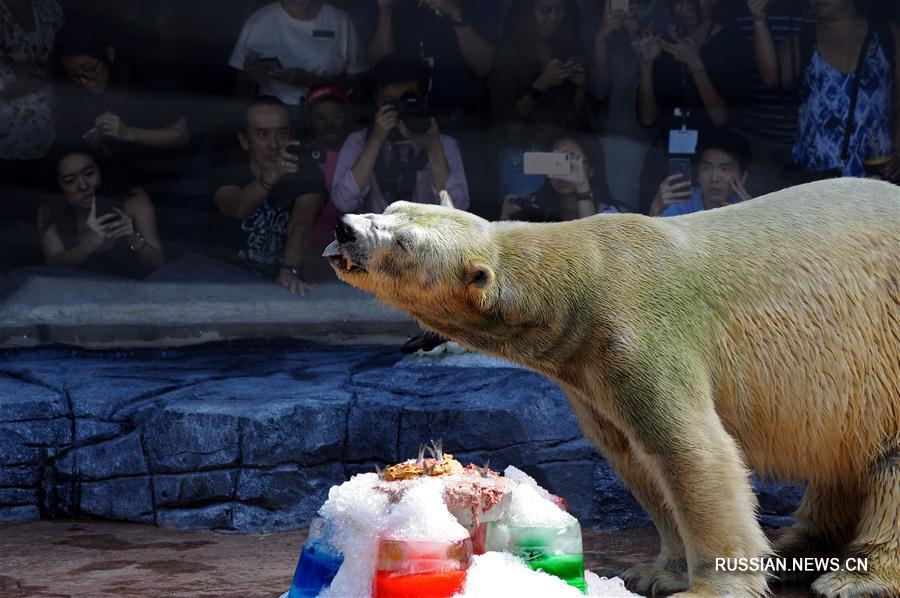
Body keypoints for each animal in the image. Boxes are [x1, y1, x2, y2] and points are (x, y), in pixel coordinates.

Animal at [326, 179, 900, 598]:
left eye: (405, 242)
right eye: (392, 204)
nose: (346, 226)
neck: (577, 284)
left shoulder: (642, 334)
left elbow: (693, 452)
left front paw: (709, 587)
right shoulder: (588, 373)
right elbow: (635, 460)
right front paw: (658, 572)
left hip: (885, 347)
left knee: (889, 463)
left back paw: (856, 578)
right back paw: (798, 545)